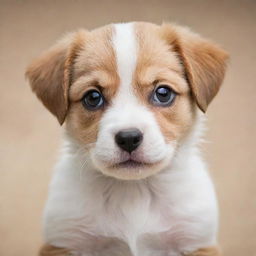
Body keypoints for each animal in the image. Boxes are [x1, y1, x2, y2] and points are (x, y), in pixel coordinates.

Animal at [26, 22, 229, 256]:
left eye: (163, 93)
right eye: (93, 97)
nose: (129, 138)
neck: (133, 190)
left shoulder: (196, 240)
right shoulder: (64, 241)